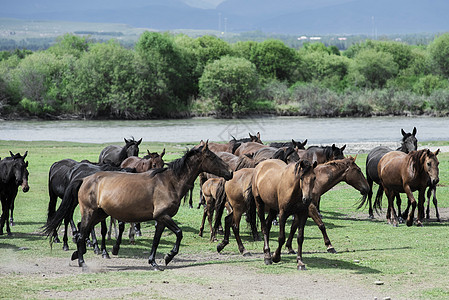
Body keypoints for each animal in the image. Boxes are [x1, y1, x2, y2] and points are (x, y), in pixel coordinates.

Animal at [43, 142, 233, 270]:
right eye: (212, 157)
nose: (230, 173)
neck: (169, 182)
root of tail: (84, 179)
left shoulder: (161, 219)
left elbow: (156, 241)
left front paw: (154, 262)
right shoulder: (163, 216)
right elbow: (179, 233)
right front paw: (168, 257)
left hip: (99, 214)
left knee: (82, 230)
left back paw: (79, 254)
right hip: (90, 212)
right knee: (82, 233)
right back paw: (83, 262)